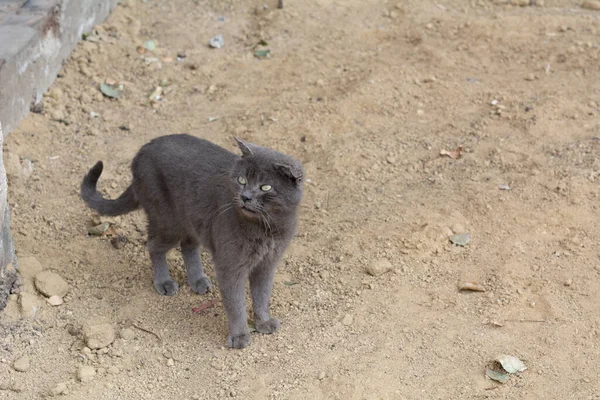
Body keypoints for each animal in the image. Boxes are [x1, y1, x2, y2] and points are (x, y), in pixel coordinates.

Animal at [80, 134, 304, 346]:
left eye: (266, 187)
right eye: (241, 180)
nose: (245, 196)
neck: (267, 228)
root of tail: (142, 151)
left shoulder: (267, 264)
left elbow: (262, 296)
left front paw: (263, 323)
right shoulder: (230, 266)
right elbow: (236, 304)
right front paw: (240, 336)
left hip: (193, 221)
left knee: (188, 246)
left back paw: (197, 280)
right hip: (167, 221)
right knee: (154, 245)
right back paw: (164, 282)